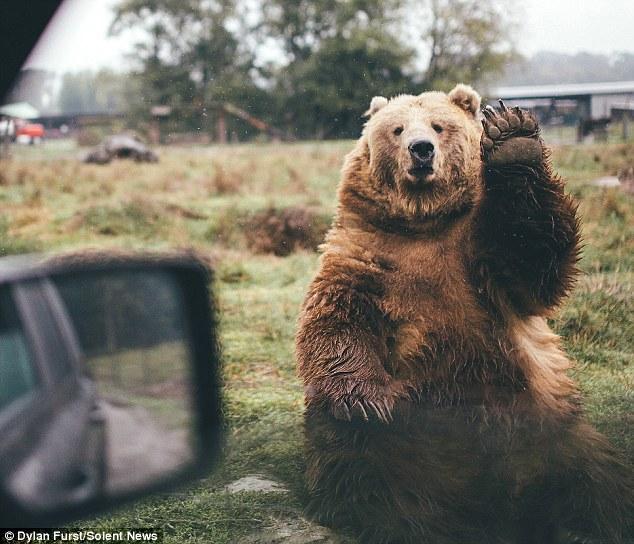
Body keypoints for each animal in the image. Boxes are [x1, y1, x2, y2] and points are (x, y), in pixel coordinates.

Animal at [296, 86, 632, 544]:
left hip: (554, 430)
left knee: (595, 481)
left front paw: (513, 138)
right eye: (397, 129)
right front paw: (365, 400)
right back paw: (396, 518)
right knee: (358, 462)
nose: (421, 149)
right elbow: (337, 320)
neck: (423, 222)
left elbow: (532, 257)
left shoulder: (480, 260)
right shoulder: (366, 256)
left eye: (439, 126)